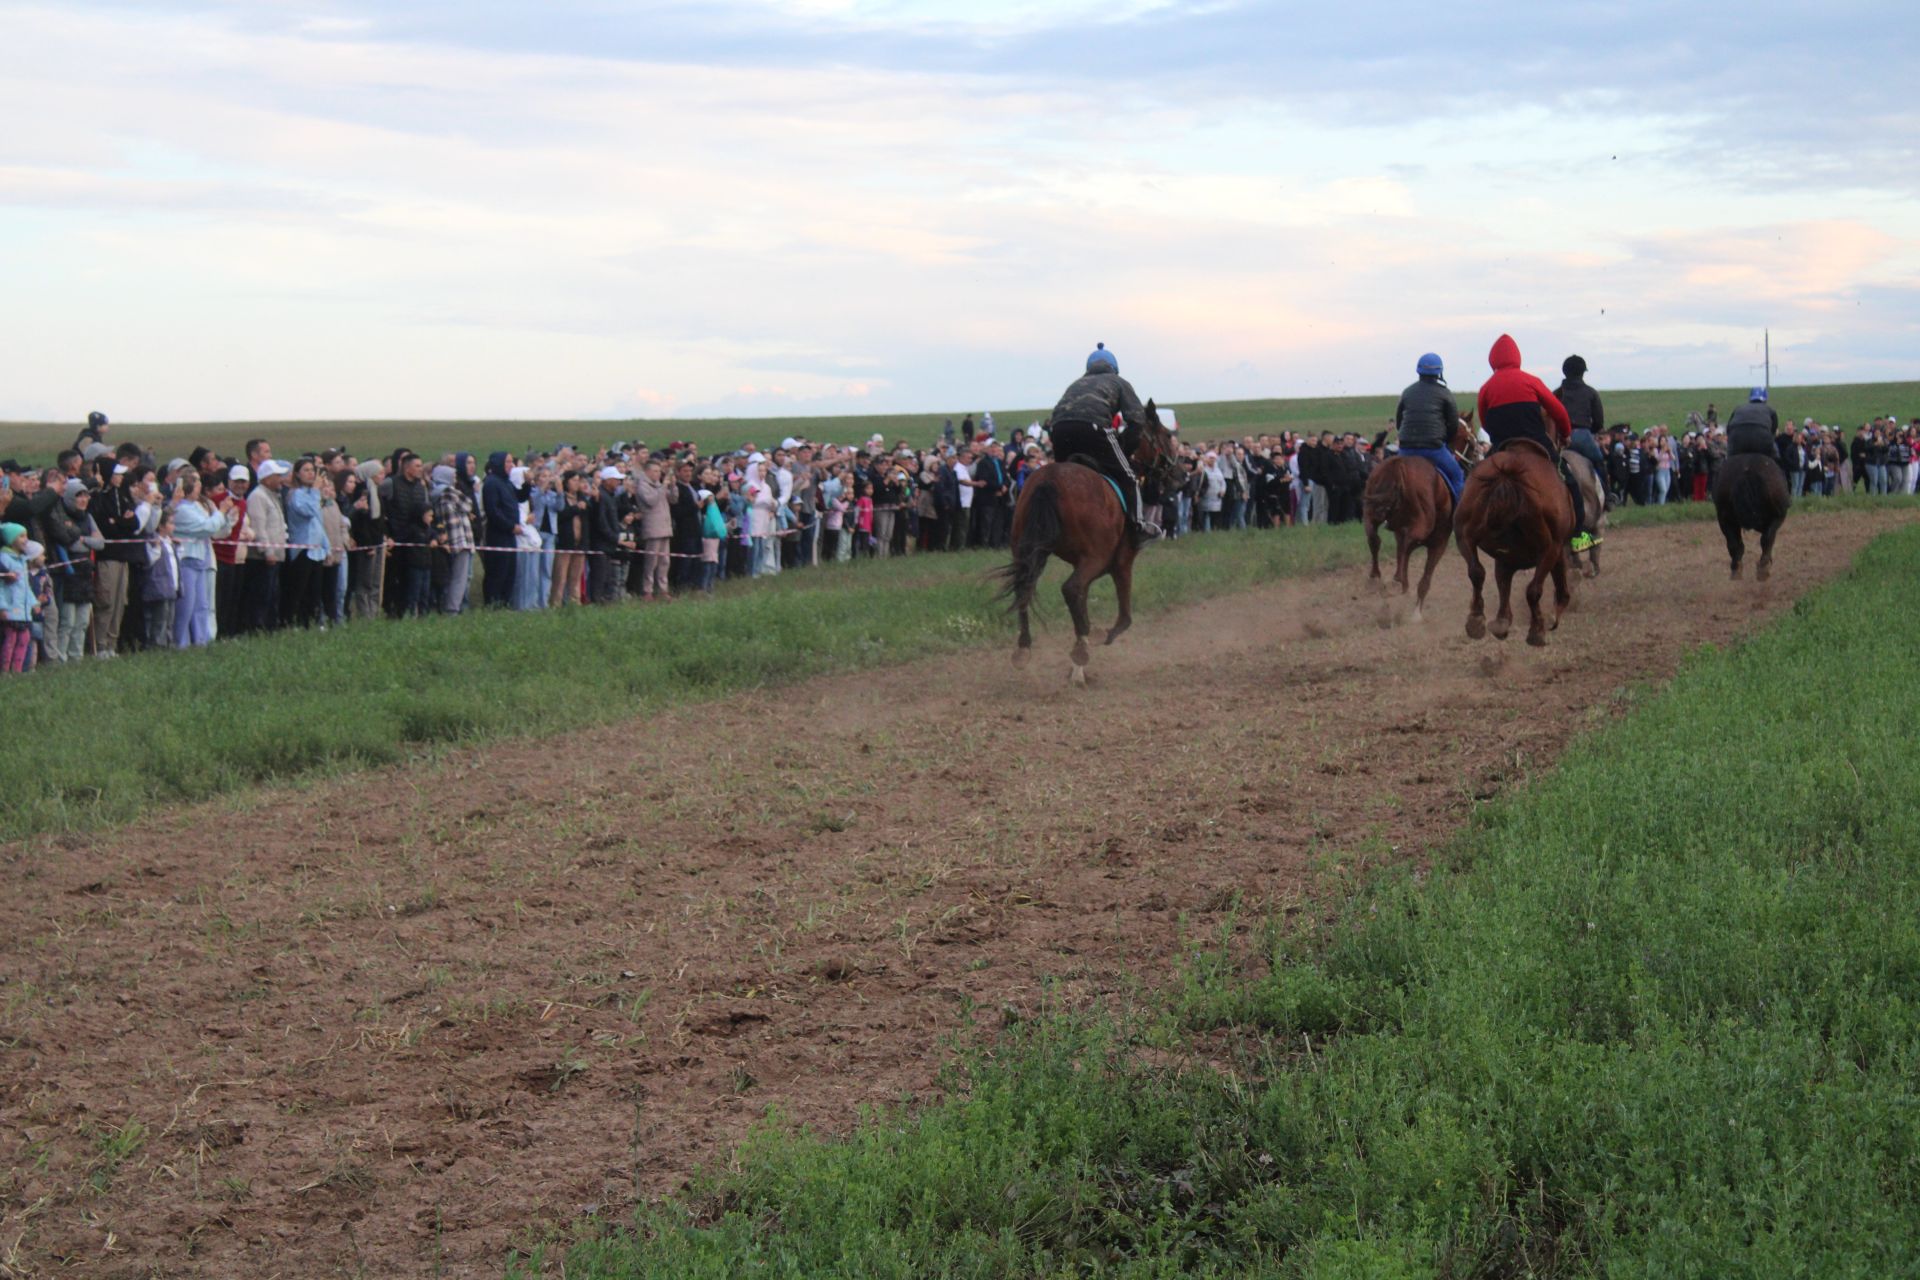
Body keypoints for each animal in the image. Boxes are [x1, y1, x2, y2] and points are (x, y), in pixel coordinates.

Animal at [1006, 404, 1182, 690]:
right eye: (1167, 436)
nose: (1182, 474)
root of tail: (1049, 481)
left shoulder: (1087, 564)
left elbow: (1082, 605)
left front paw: (1079, 665)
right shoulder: (1120, 562)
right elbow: (1124, 617)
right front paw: (1095, 640)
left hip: (1026, 550)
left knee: (1026, 587)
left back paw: (1024, 649)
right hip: (1095, 557)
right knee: (1069, 588)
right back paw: (1080, 650)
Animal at [1451, 441, 1574, 652]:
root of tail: (1506, 475)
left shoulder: (1504, 560)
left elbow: (1502, 584)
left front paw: (1501, 622)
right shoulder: (1558, 547)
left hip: (1463, 535)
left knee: (1476, 572)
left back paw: (1476, 620)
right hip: (1549, 548)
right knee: (1533, 590)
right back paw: (1537, 631)